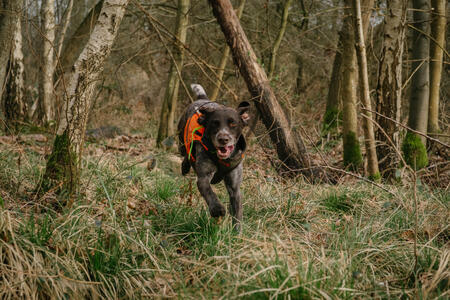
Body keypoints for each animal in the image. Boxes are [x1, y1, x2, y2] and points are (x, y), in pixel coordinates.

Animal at [178, 84, 250, 232]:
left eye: (233, 124)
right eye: (215, 123)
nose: (223, 139)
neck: (223, 159)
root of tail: (202, 99)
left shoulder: (235, 188)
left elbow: (237, 213)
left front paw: (236, 234)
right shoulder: (204, 177)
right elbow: (209, 192)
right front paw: (217, 209)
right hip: (182, 139)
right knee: (186, 151)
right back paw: (185, 166)